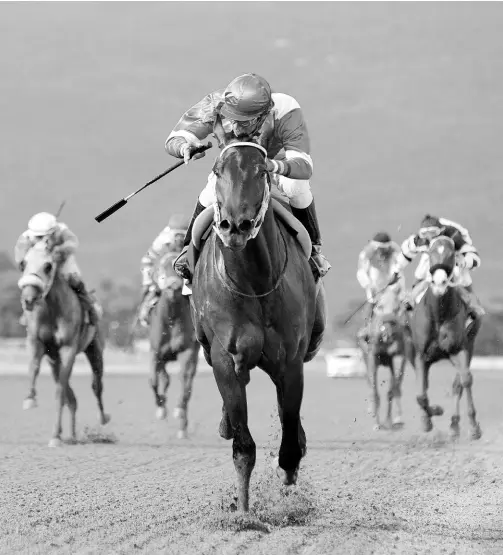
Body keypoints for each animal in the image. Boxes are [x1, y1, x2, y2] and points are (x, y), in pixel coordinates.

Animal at [18, 241, 110, 446]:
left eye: (48, 266)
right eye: (23, 263)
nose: (28, 299)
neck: (52, 311)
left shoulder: (68, 349)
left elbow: (60, 392)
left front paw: (55, 437)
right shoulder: (37, 344)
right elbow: (33, 369)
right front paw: (29, 399)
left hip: (95, 349)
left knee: (96, 385)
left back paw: (102, 418)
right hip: (54, 360)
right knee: (72, 397)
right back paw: (72, 435)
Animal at [147, 252, 200, 438]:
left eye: (178, 267)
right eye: (162, 267)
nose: (172, 285)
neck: (171, 319)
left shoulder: (188, 350)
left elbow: (185, 380)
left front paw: (178, 411)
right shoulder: (155, 353)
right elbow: (153, 381)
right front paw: (161, 409)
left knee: (188, 382)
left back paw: (182, 426)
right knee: (164, 378)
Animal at [185, 119, 326, 516]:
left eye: (262, 172)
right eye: (218, 170)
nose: (237, 226)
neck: (255, 282)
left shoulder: (291, 361)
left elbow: (290, 443)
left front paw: (289, 496)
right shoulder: (225, 359)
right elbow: (243, 447)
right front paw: (244, 513)